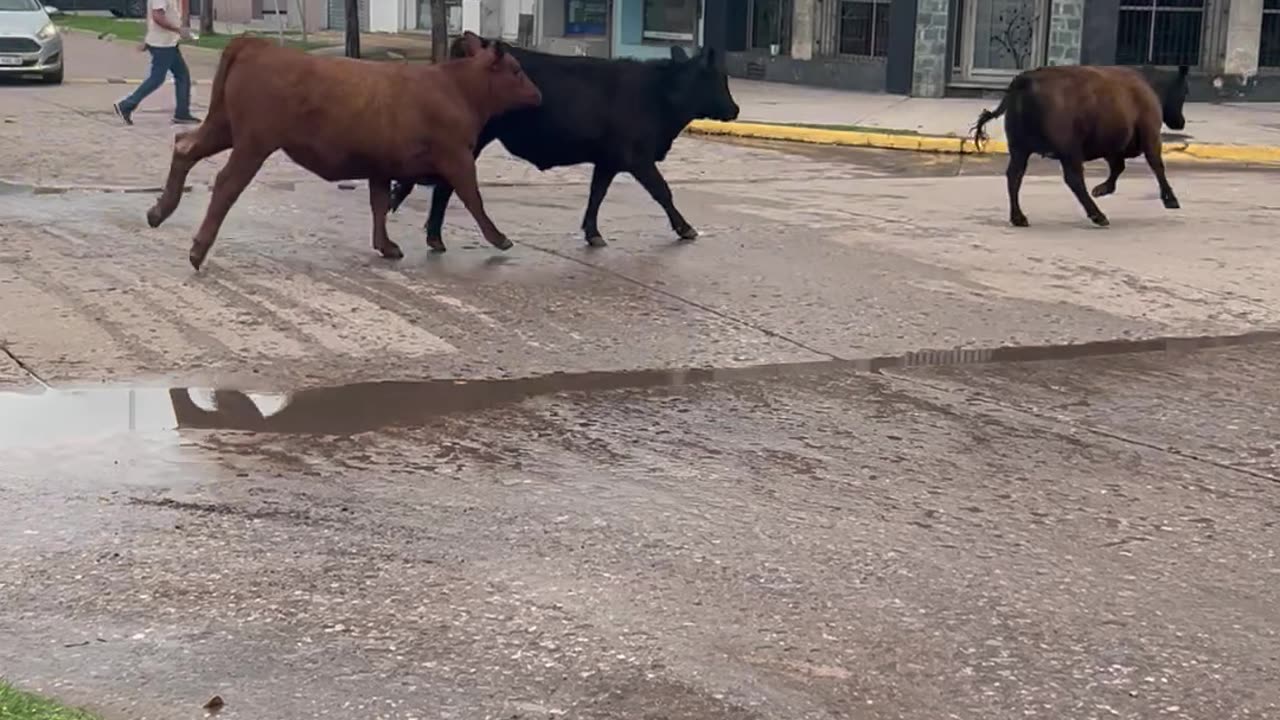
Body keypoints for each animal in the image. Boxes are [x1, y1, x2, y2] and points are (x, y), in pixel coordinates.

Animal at [145, 34, 542, 270]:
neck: (456, 87)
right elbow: (474, 199)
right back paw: (198, 249)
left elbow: (380, 204)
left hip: (224, 127)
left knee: (185, 146)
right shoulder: (457, 157)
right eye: (516, 70)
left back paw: (158, 211)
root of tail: (259, 44)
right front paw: (499, 237)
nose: (538, 95)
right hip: (254, 142)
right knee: (226, 183)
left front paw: (386, 245)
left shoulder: (381, 166)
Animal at [387, 32, 741, 251]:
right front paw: (686, 228)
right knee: (447, 185)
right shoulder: (637, 157)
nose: (735, 109)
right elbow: (662, 192)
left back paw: (435, 237)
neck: (658, 93)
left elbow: (597, 195)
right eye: (718, 77)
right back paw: (438, 236)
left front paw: (593, 233)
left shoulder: (608, 159)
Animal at [971, 64, 1190, 228]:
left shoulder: (1112, 145)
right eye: (1184, 91)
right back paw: (1098, 216)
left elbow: (1118, 167)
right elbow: (1156, 165)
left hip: (1020, 149)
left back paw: (1018, 217)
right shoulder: (1150, 135)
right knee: (1074, 179)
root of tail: (1023, 80)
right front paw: (1170, 199)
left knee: (1014, 176)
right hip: (1068, 150)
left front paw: (1102, 189)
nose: (1181, 122)